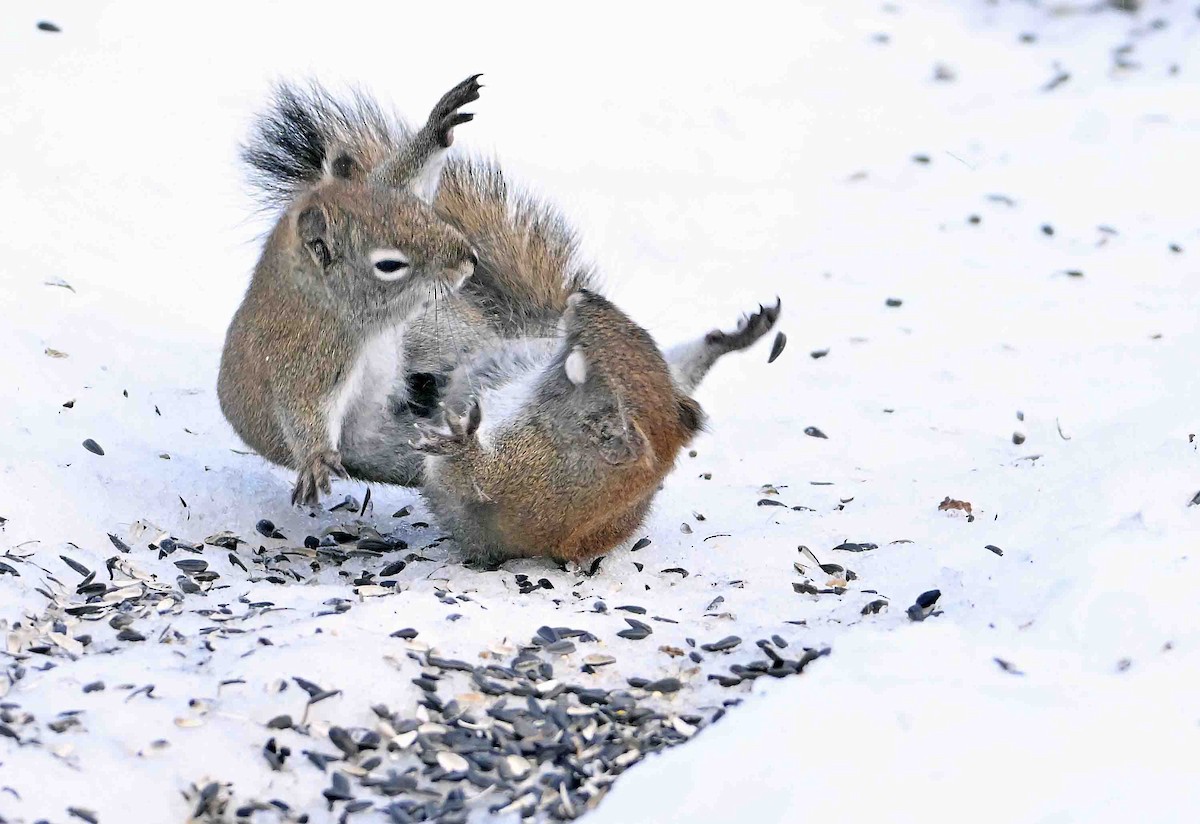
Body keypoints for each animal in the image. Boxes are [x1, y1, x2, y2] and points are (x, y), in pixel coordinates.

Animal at [219, 76, 781, 560]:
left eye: (581, 364)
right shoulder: (305, 354)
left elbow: (473, 484)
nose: (584, 300)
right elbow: (300, 410)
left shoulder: (519, 481)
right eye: (392, 262)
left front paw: (463, 447)